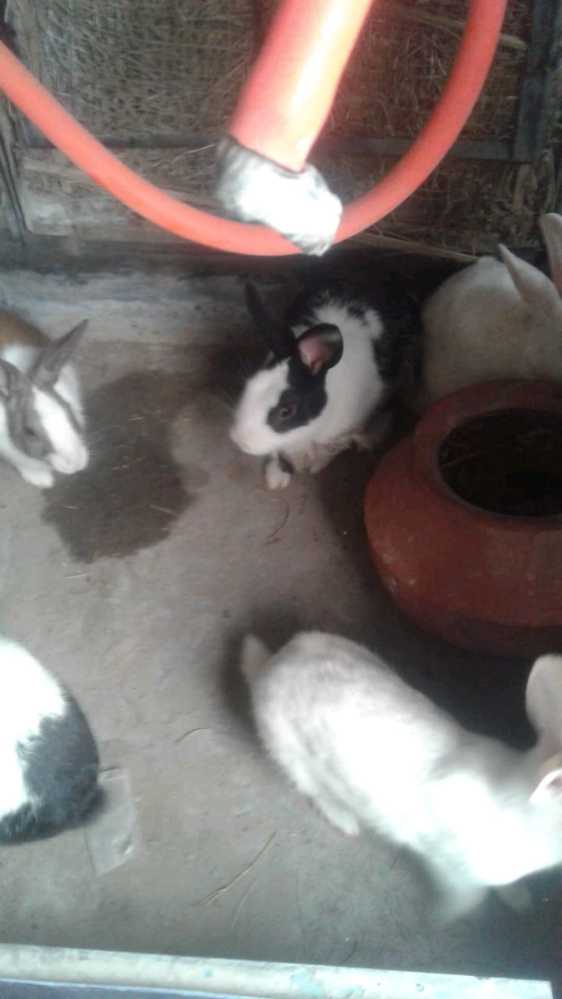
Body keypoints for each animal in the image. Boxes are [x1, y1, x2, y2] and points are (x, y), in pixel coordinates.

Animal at [230, 278, 420, 489]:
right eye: (249, 385)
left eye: (287, 411)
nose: (240, 441)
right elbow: (278, 453)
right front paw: (276, 478)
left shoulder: (342, 431)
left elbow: (330, 450)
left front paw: (313, 467)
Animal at [240, 630, 562, 921]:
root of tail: (270, 665)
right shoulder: (447, 861)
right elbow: (469, 896)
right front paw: (447, 916)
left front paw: (519, 900)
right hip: (291, 754)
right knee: (314, 791)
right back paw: (346, 821)